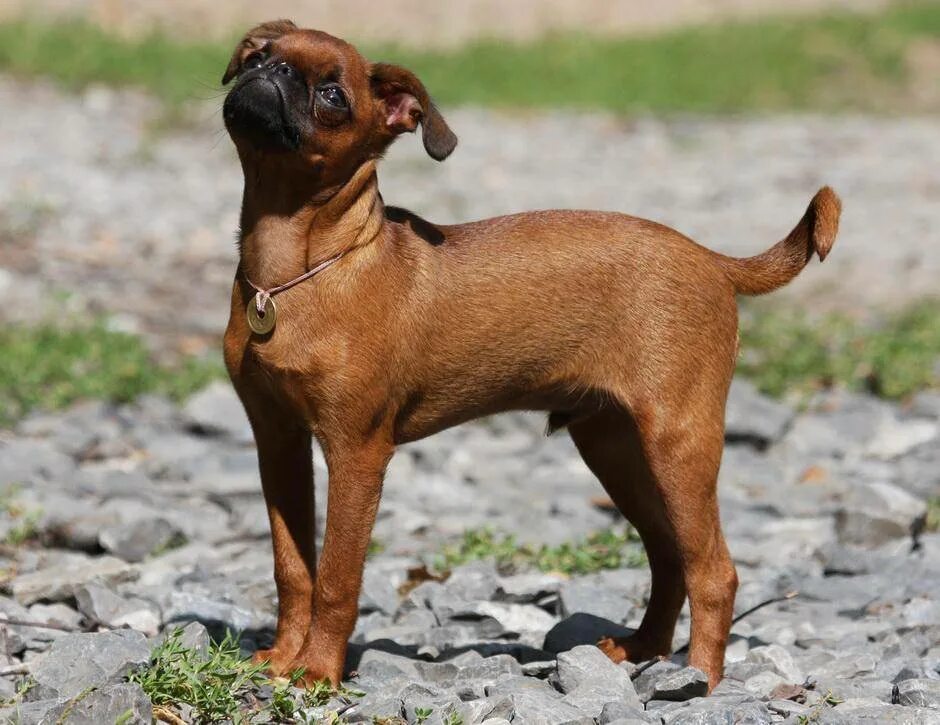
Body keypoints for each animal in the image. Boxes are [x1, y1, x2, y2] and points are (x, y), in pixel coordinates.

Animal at [222, 21, 844, 692]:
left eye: (333, 96)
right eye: (257, 56)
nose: (275, 71)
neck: (292, 273)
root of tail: (711, 258)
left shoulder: (356, 453)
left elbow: (336, 576)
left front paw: (316, 673)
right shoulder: (277, 442)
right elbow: (293, 568)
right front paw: (282, 658)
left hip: (680, 444)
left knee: (714, 570)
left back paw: (699, 677)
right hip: (616, 448)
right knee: (670, 557)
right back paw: (643, 650)